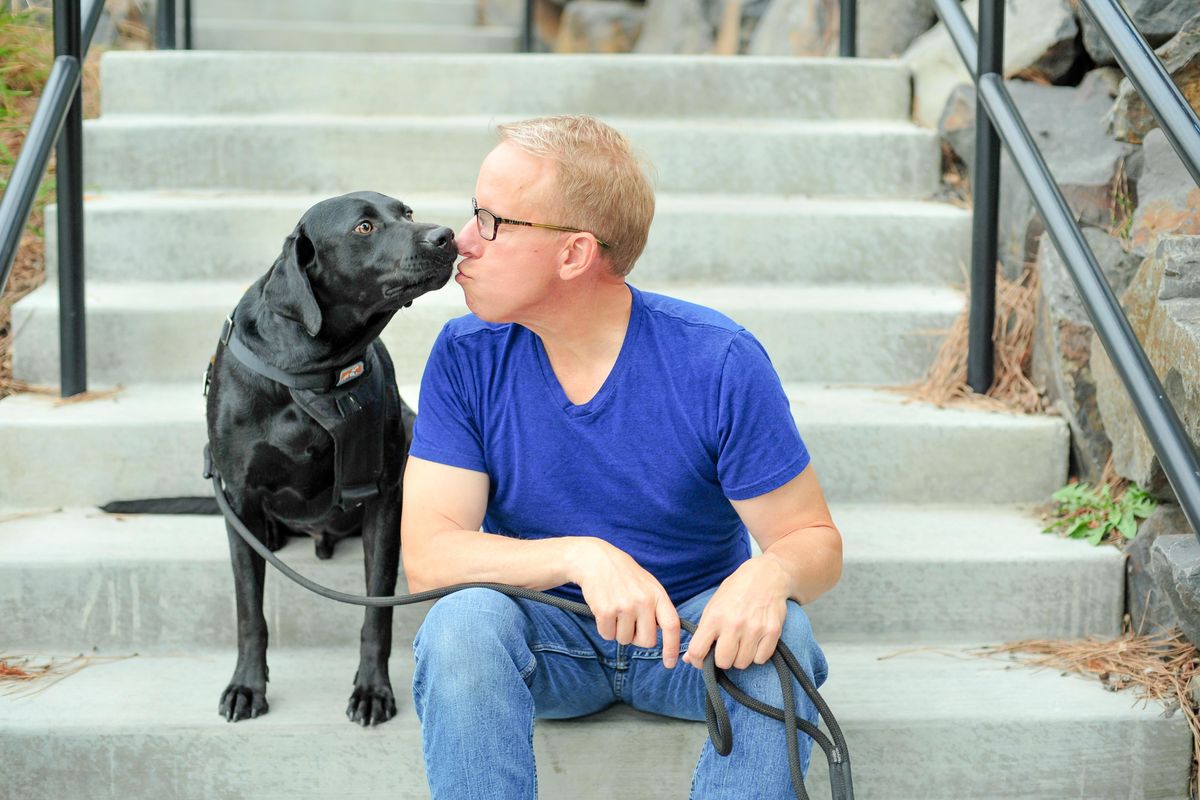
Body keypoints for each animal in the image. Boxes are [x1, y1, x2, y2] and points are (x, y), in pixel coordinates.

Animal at [206, 191, 453, 724]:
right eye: (363, 227)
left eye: (405, 212)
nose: (445, 235)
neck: (310, 368)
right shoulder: (238, 496)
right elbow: (249, 611)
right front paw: (246, 687)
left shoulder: (383, 498)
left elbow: (376, 610)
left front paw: (372, 690)